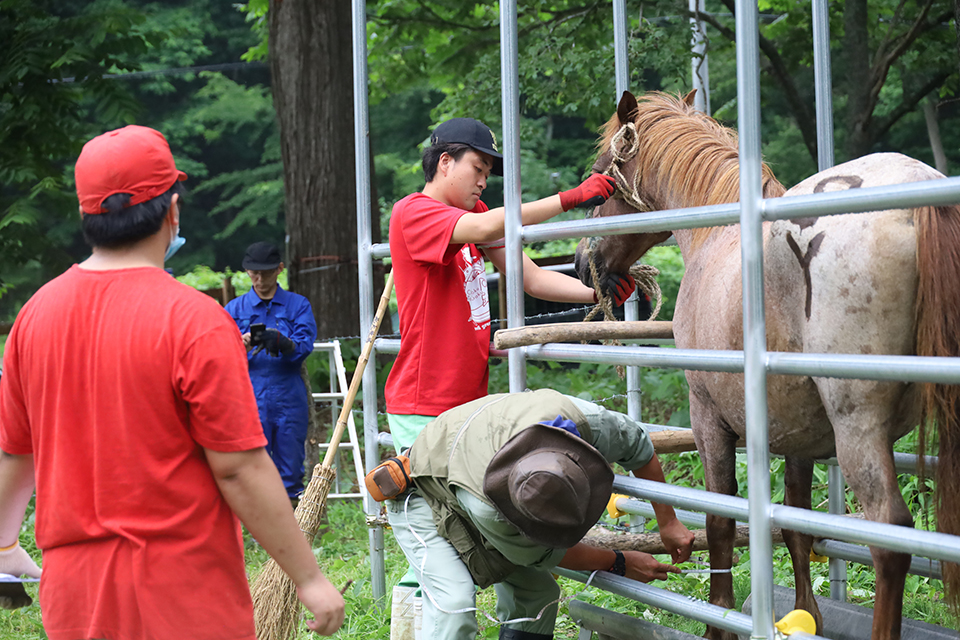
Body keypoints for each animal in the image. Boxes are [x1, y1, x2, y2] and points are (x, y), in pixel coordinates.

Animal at [576, 90, 960, 640]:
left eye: (601, 176)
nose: (584, 266)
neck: (717, 234)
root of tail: (918, 191)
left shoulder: (707, 417)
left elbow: (720, 519)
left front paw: (717, 621)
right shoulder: (799, 435)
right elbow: (798, 524)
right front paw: (807, 615)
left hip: (859, 426)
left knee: (890, 537)